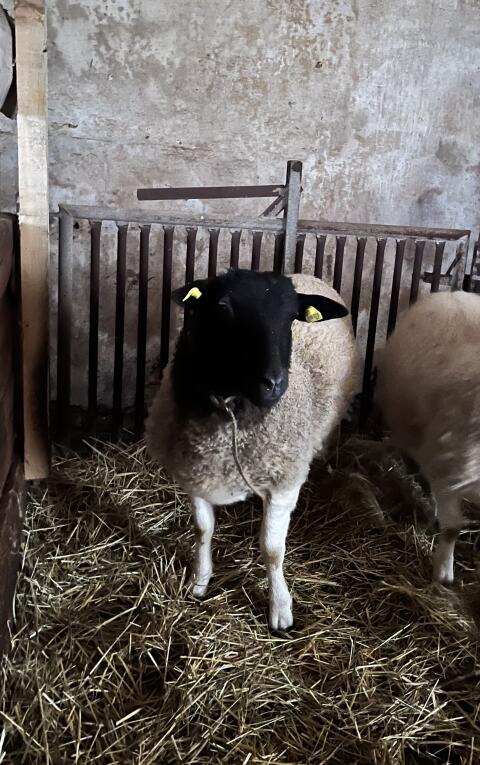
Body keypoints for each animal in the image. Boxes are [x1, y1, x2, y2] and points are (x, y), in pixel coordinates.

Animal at [146, 269, 361, 630]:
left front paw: (280, 608)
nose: (274, 383)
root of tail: (307, 274)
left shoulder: (283, 481)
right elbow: (203, 530)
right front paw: (199, 581)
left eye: (291, 317)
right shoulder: (195, 473)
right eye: (223, 309)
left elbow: (272, 549)